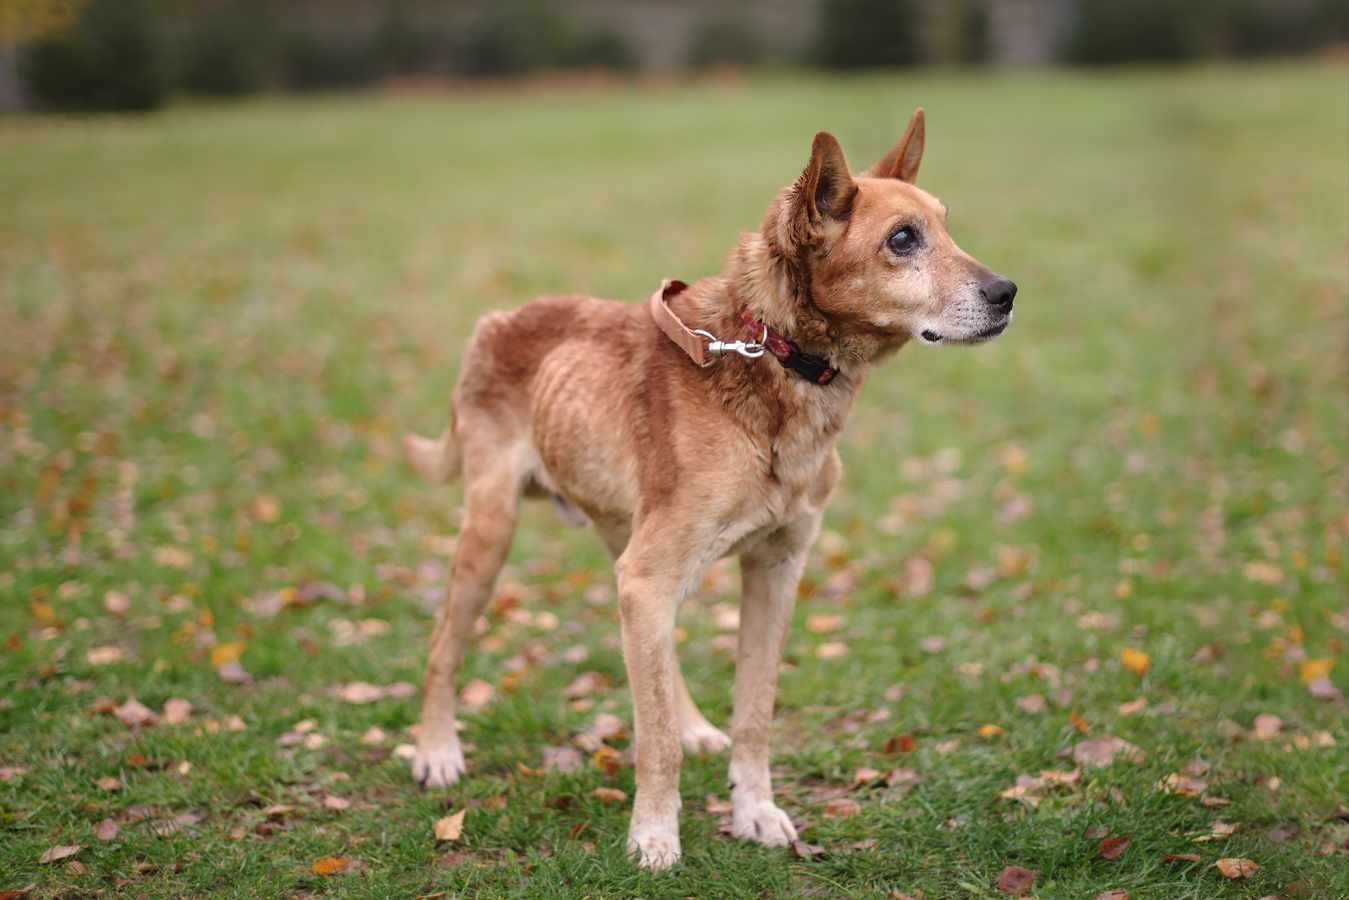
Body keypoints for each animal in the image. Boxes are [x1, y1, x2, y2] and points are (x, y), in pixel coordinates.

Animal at [404, 109, 1014, 868]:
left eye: (946, 225)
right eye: (903, 239)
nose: (1008, 293)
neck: (769, 358)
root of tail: (500, 320)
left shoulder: (773, 569)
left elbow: (751, 714)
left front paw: (753, 811)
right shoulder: (651, 577)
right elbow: (654, 739)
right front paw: (653, 835)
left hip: (625, 543)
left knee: (656, 664)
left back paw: (692, 723)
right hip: (496, 535)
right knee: (442, 648)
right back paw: (435, 750)